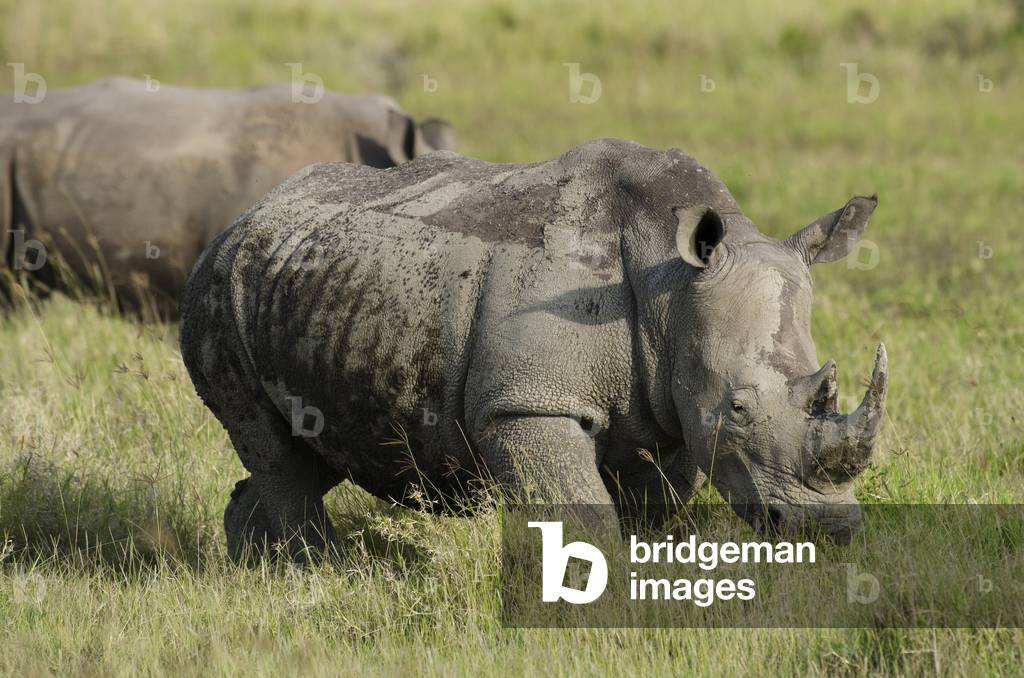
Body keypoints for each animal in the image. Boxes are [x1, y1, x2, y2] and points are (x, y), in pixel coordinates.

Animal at [179, 138, 887, 561]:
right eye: (738, 409)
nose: (830, 532)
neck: (670, 283)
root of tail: (242, 219)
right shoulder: (526, 402)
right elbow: (584, 518)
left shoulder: (669, 405)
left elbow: (656, 507)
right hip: (219, 289)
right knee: (281, 460)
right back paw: (313, 573)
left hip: (299, 278)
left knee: (314, 448)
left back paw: (254, 569)